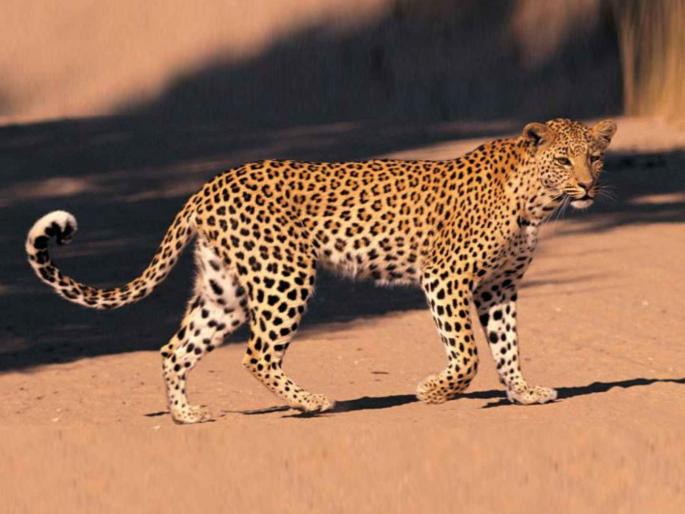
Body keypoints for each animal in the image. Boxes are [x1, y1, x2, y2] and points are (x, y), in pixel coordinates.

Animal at [26, 118, 617, 424]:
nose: (587, 186)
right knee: (257, 352)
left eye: (595, 157)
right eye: (563, 160)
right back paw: (311, 402)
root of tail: (210, 184)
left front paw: (523, 392)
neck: (535, 202)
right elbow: (468, 352)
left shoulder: (499, 286)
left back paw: (186, 415)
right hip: (284, 274)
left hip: (224, 291)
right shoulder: (445, 277)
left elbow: (506, 346)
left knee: (176, 348)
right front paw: (433, 391)